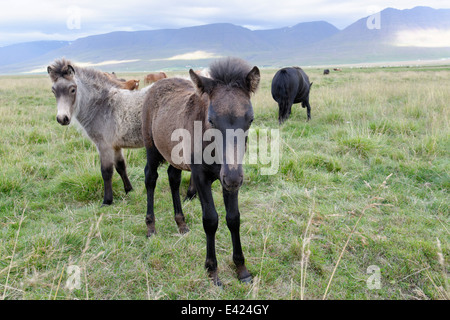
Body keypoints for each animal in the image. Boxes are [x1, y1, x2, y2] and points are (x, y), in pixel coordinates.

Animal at [47, 58, 150, 205]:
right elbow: (121, 167)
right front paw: (129, 190)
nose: (62, 118)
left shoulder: (104, 146)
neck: (102, 106)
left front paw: (107, 201)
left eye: (72, 89)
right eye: (53, 91)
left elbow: (106, 172)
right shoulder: (115, 146)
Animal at [141, 57, 260, 284]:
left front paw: (241, 269)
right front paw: (212, 270)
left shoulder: (228, 180)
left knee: (173, 178)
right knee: (150, 178)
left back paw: (181, 224)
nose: (233, 178)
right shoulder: (200, 176)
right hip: (151, 148)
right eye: (211, 120)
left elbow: (233, 218)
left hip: (175, 156)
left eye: (250, 120)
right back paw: (151, 227)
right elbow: (211, 220)